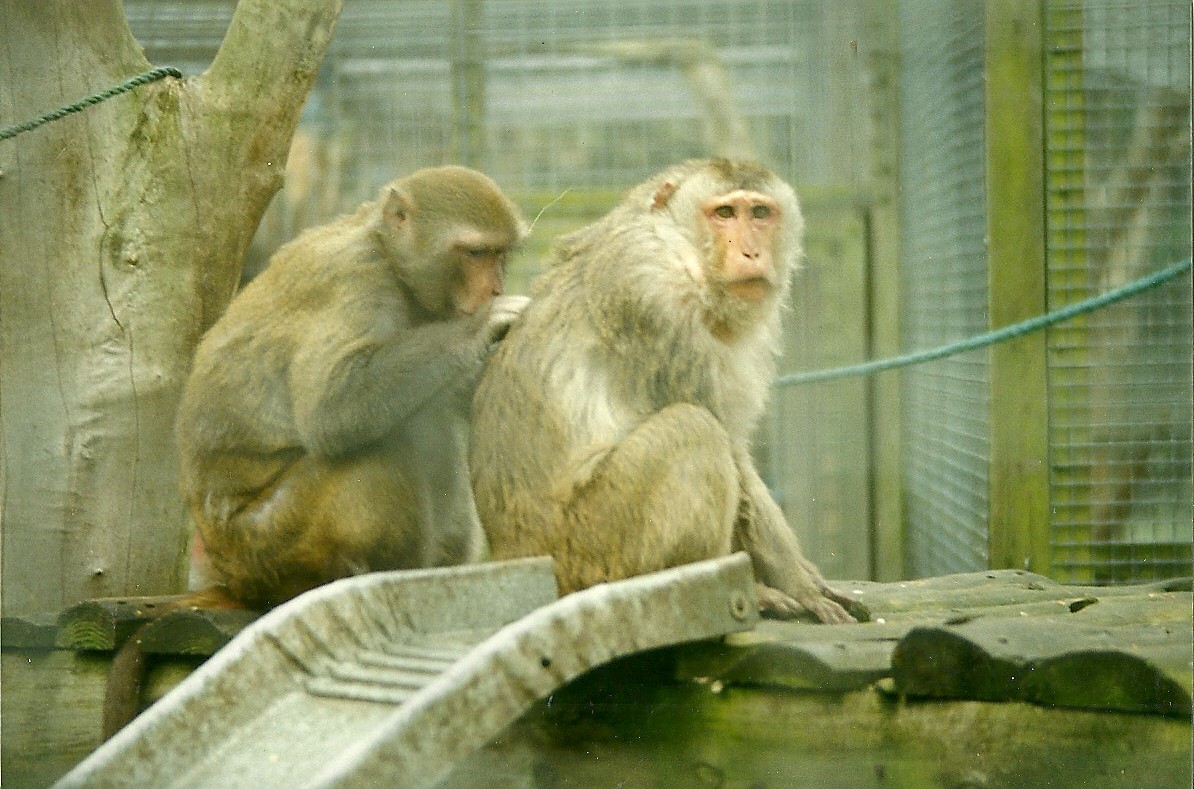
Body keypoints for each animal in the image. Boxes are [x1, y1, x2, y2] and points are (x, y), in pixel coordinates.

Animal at [470, 159, 855, 624]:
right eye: (724, 213)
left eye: (761, 213)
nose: (751, 253)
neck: (678, 250)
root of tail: (517, 555)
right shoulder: (655, 301)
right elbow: (730, 450)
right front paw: (800, 585)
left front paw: (809, 578)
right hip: (595, 542)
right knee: (695, 428)